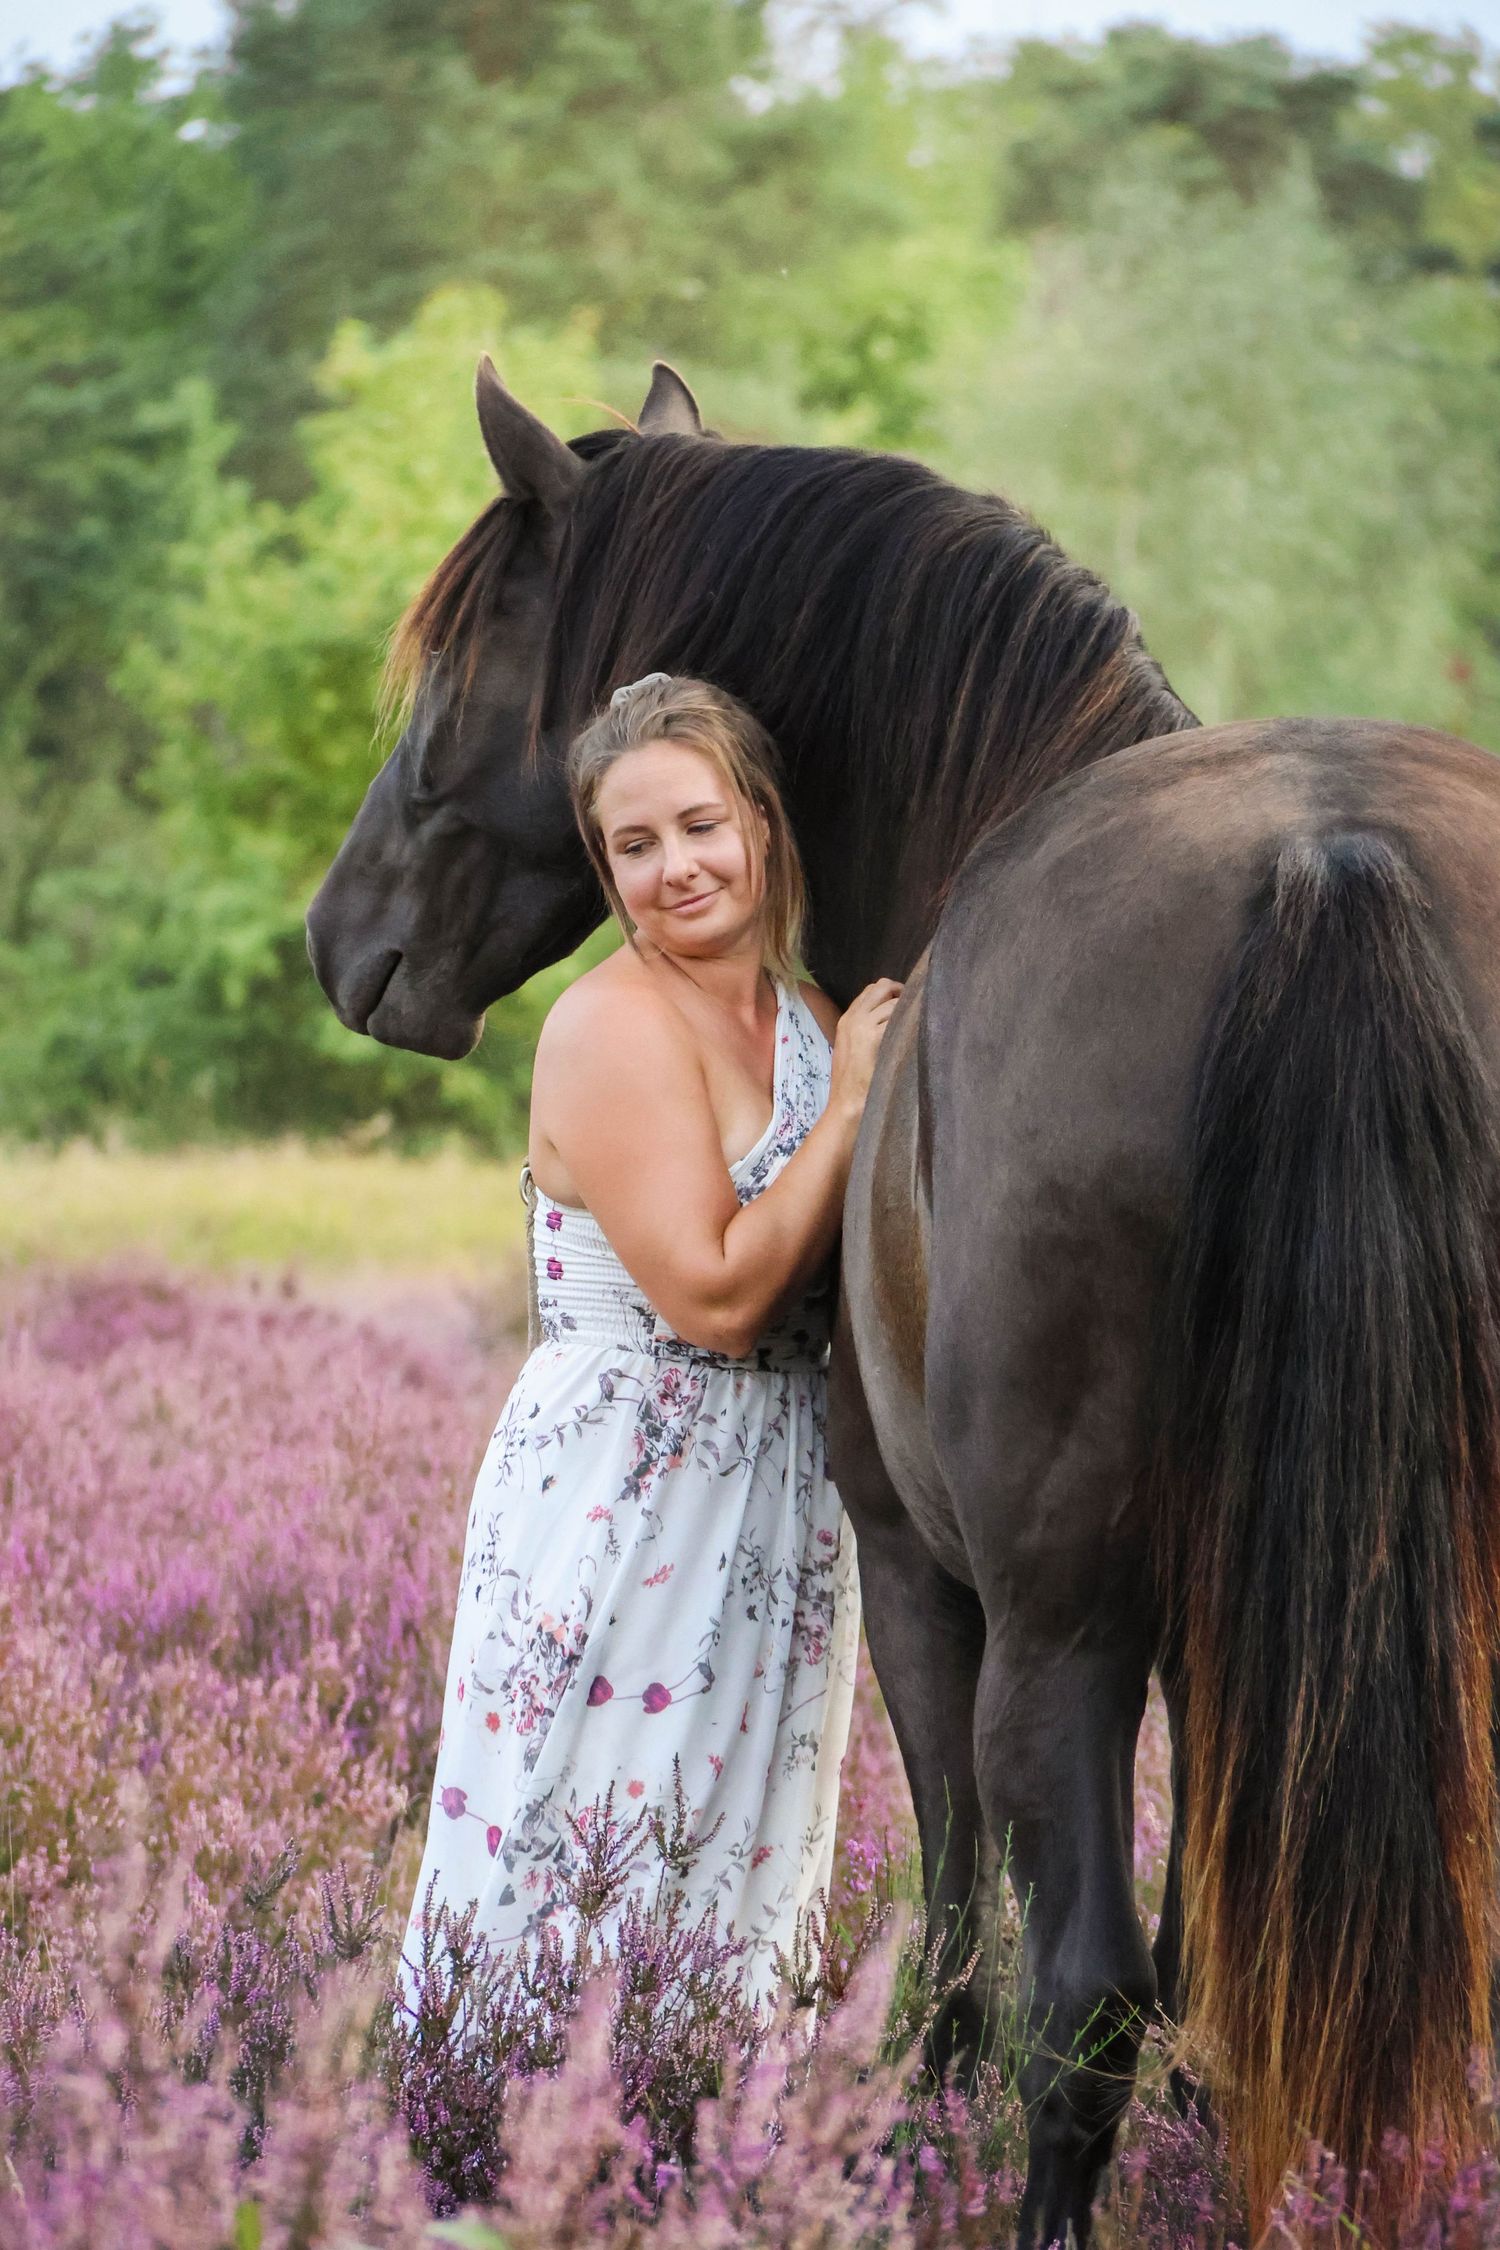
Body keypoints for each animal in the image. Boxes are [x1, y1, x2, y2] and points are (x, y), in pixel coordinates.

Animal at [307, 358, 1500, 2245]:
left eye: (456, 662)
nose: (336, 941)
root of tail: (1333, 861)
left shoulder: (930, 1587)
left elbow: (968, 1931)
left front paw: (909, 2134)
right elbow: (1219, 1958)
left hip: (1055, 1626)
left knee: (1078, 1992)